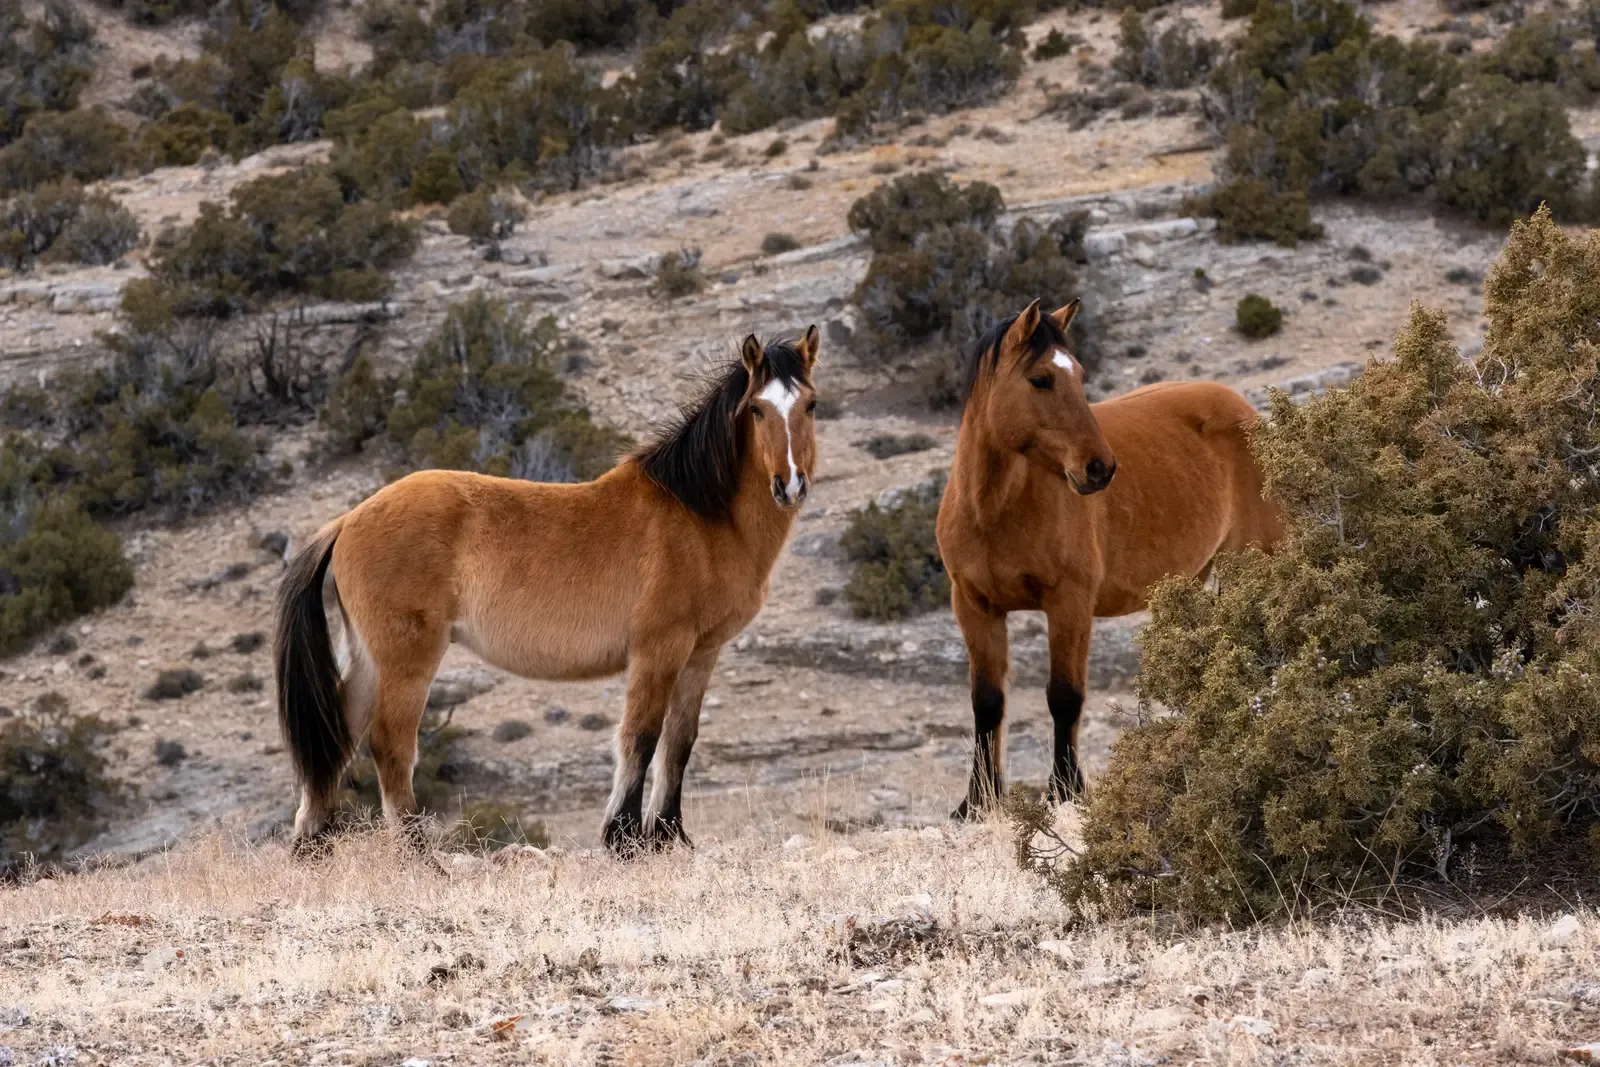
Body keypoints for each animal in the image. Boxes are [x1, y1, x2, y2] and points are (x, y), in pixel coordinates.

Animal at [275, 327, 822, 857]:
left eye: (811, 404)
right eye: (756, 408)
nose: (789, 485)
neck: (699, 513)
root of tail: (349, 520)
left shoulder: (700, 654)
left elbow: (679, 742)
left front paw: (668, 837)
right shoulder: (659, 649)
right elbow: (641, 737)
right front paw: (626, 840)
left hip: (369, 659)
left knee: (338, 736)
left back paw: (312, 850)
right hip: (406, 661)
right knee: (390, 745)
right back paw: (420, 860)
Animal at [935, 299, 1283, 818]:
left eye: (1080, 374)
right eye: (1041, 379)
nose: (1099, 468)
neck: (994, 510)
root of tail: (1246, 412)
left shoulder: (1070, 602)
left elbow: (1064, 697)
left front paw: (1066, 791)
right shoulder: (974, 605)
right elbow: (987, 703)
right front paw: (977, 802)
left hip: (1251, 563)